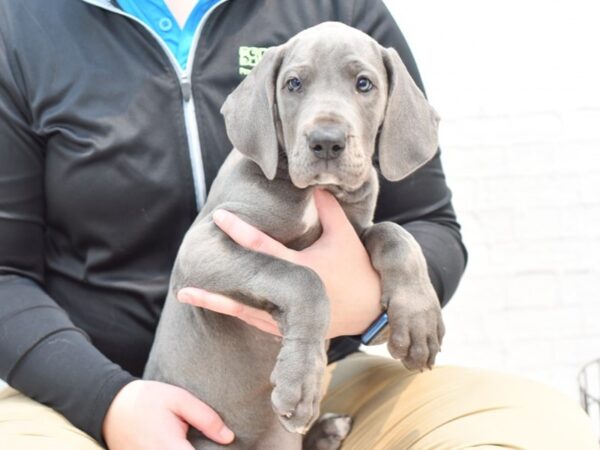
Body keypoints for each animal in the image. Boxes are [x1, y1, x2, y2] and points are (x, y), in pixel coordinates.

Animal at [145, 22, 442, 450]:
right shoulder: (201, 247)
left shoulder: (356, 232)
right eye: (294, 83)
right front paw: (301, 383)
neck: (314, 192)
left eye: (364, 83)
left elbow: (395, 234)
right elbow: (301, 277)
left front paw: (418, 322)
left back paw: (329, 430)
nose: (327, 141)